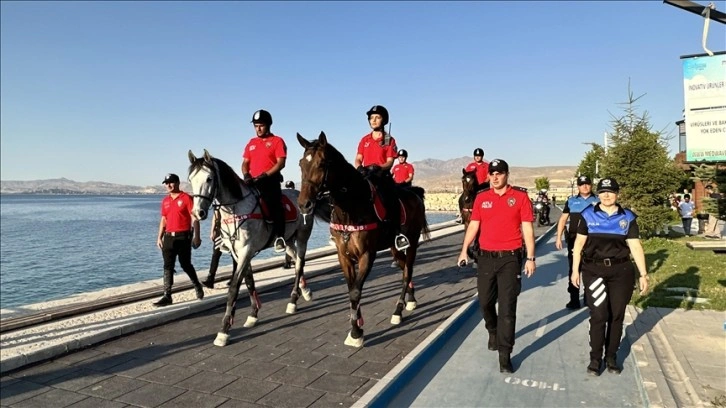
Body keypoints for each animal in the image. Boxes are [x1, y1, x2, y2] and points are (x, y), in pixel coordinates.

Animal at [298, 131, 430, 348]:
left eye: (322, 163)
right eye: (301, 164)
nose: (304, 204)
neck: (350, 208)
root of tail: (415, 193)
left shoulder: (367, 255)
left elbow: (355, 291)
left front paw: (356, 332)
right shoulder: (343, 256)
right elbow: (351, 289)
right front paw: (357, 325)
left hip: (411, 242)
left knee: (407, 272)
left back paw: (398, 309)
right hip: (394, 248)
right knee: (404, 269)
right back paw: (410, 300)